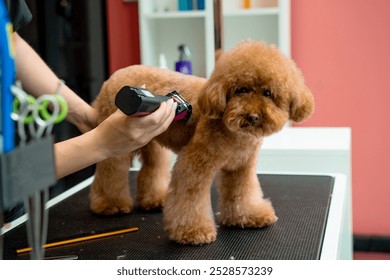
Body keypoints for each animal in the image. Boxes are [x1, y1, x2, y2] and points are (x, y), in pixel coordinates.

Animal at [89, 40, 314, 245]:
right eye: (241, 89)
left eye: (268, 93)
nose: (252, 116)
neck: (237, 135)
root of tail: (114, 77)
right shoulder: (195, 164)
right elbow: (190, 198)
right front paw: (192, 231)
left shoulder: (241, 167)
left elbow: (243, 193)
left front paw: (249, 216)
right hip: (117, 143)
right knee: (111, 171)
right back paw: (110, 204)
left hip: (152, 139)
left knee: (153, 166)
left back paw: (154, 200)